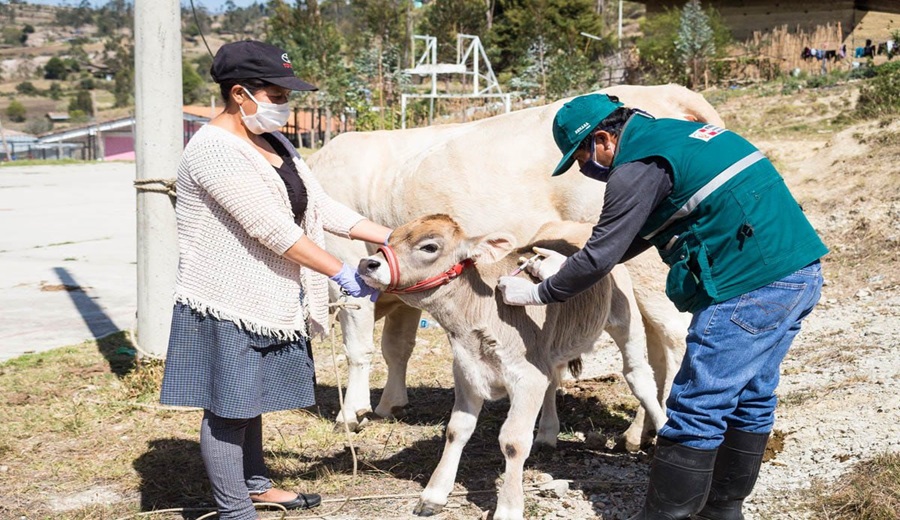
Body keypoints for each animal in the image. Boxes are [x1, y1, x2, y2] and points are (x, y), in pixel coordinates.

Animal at [310, 84, 712, 446]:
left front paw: (352, 412)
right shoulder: (405, 295)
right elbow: (397, 347)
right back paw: (638, 431)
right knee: (653, 351)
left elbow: (358, 348)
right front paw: (390, 403)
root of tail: (664, 90)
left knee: (674, 341)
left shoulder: (349, 274)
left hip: (649, 270)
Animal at [358, 213, 660, 516]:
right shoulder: (466, 370)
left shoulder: (527, 376)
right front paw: (434, 494)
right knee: (553, 380)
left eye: (429, 246)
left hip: (625, 318)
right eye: (391, 238)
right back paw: (547, 434)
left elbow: (513, 441)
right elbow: (457, 430)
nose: (367, 263)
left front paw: (508, 507)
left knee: (639, 376)